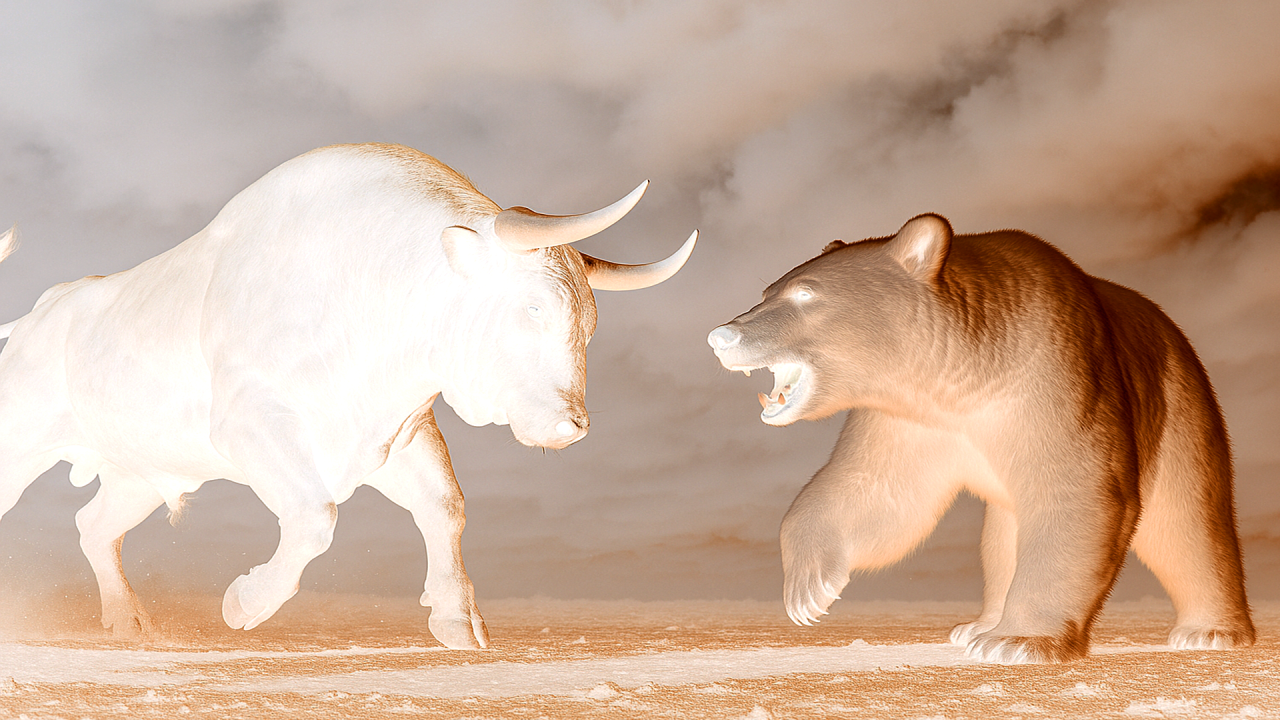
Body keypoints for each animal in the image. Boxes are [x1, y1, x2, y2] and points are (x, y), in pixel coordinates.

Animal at [0, 142, 696, 649]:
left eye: (591, 322)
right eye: (532, 306)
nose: (570, 423)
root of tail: (36, 316)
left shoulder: (401, 432)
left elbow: (445, 508)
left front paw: (457, 622)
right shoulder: (254, 423)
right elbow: (315, 518)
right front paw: (245, 603)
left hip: (142, 471)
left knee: (94, 527)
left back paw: (127, 622)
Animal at [707, 213, 1255, 663]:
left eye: (806, 293)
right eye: (766, 292)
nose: (721, 336)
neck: (974, 364)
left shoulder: (1051, 376)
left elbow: (1078, 491)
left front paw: (1021, 640)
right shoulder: (916, 419)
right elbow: (876, 489)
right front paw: (808, 590)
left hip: (1178, 406)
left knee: (1188, 520)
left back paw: (1211, 632)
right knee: (1001, 538)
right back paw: (977, 625)